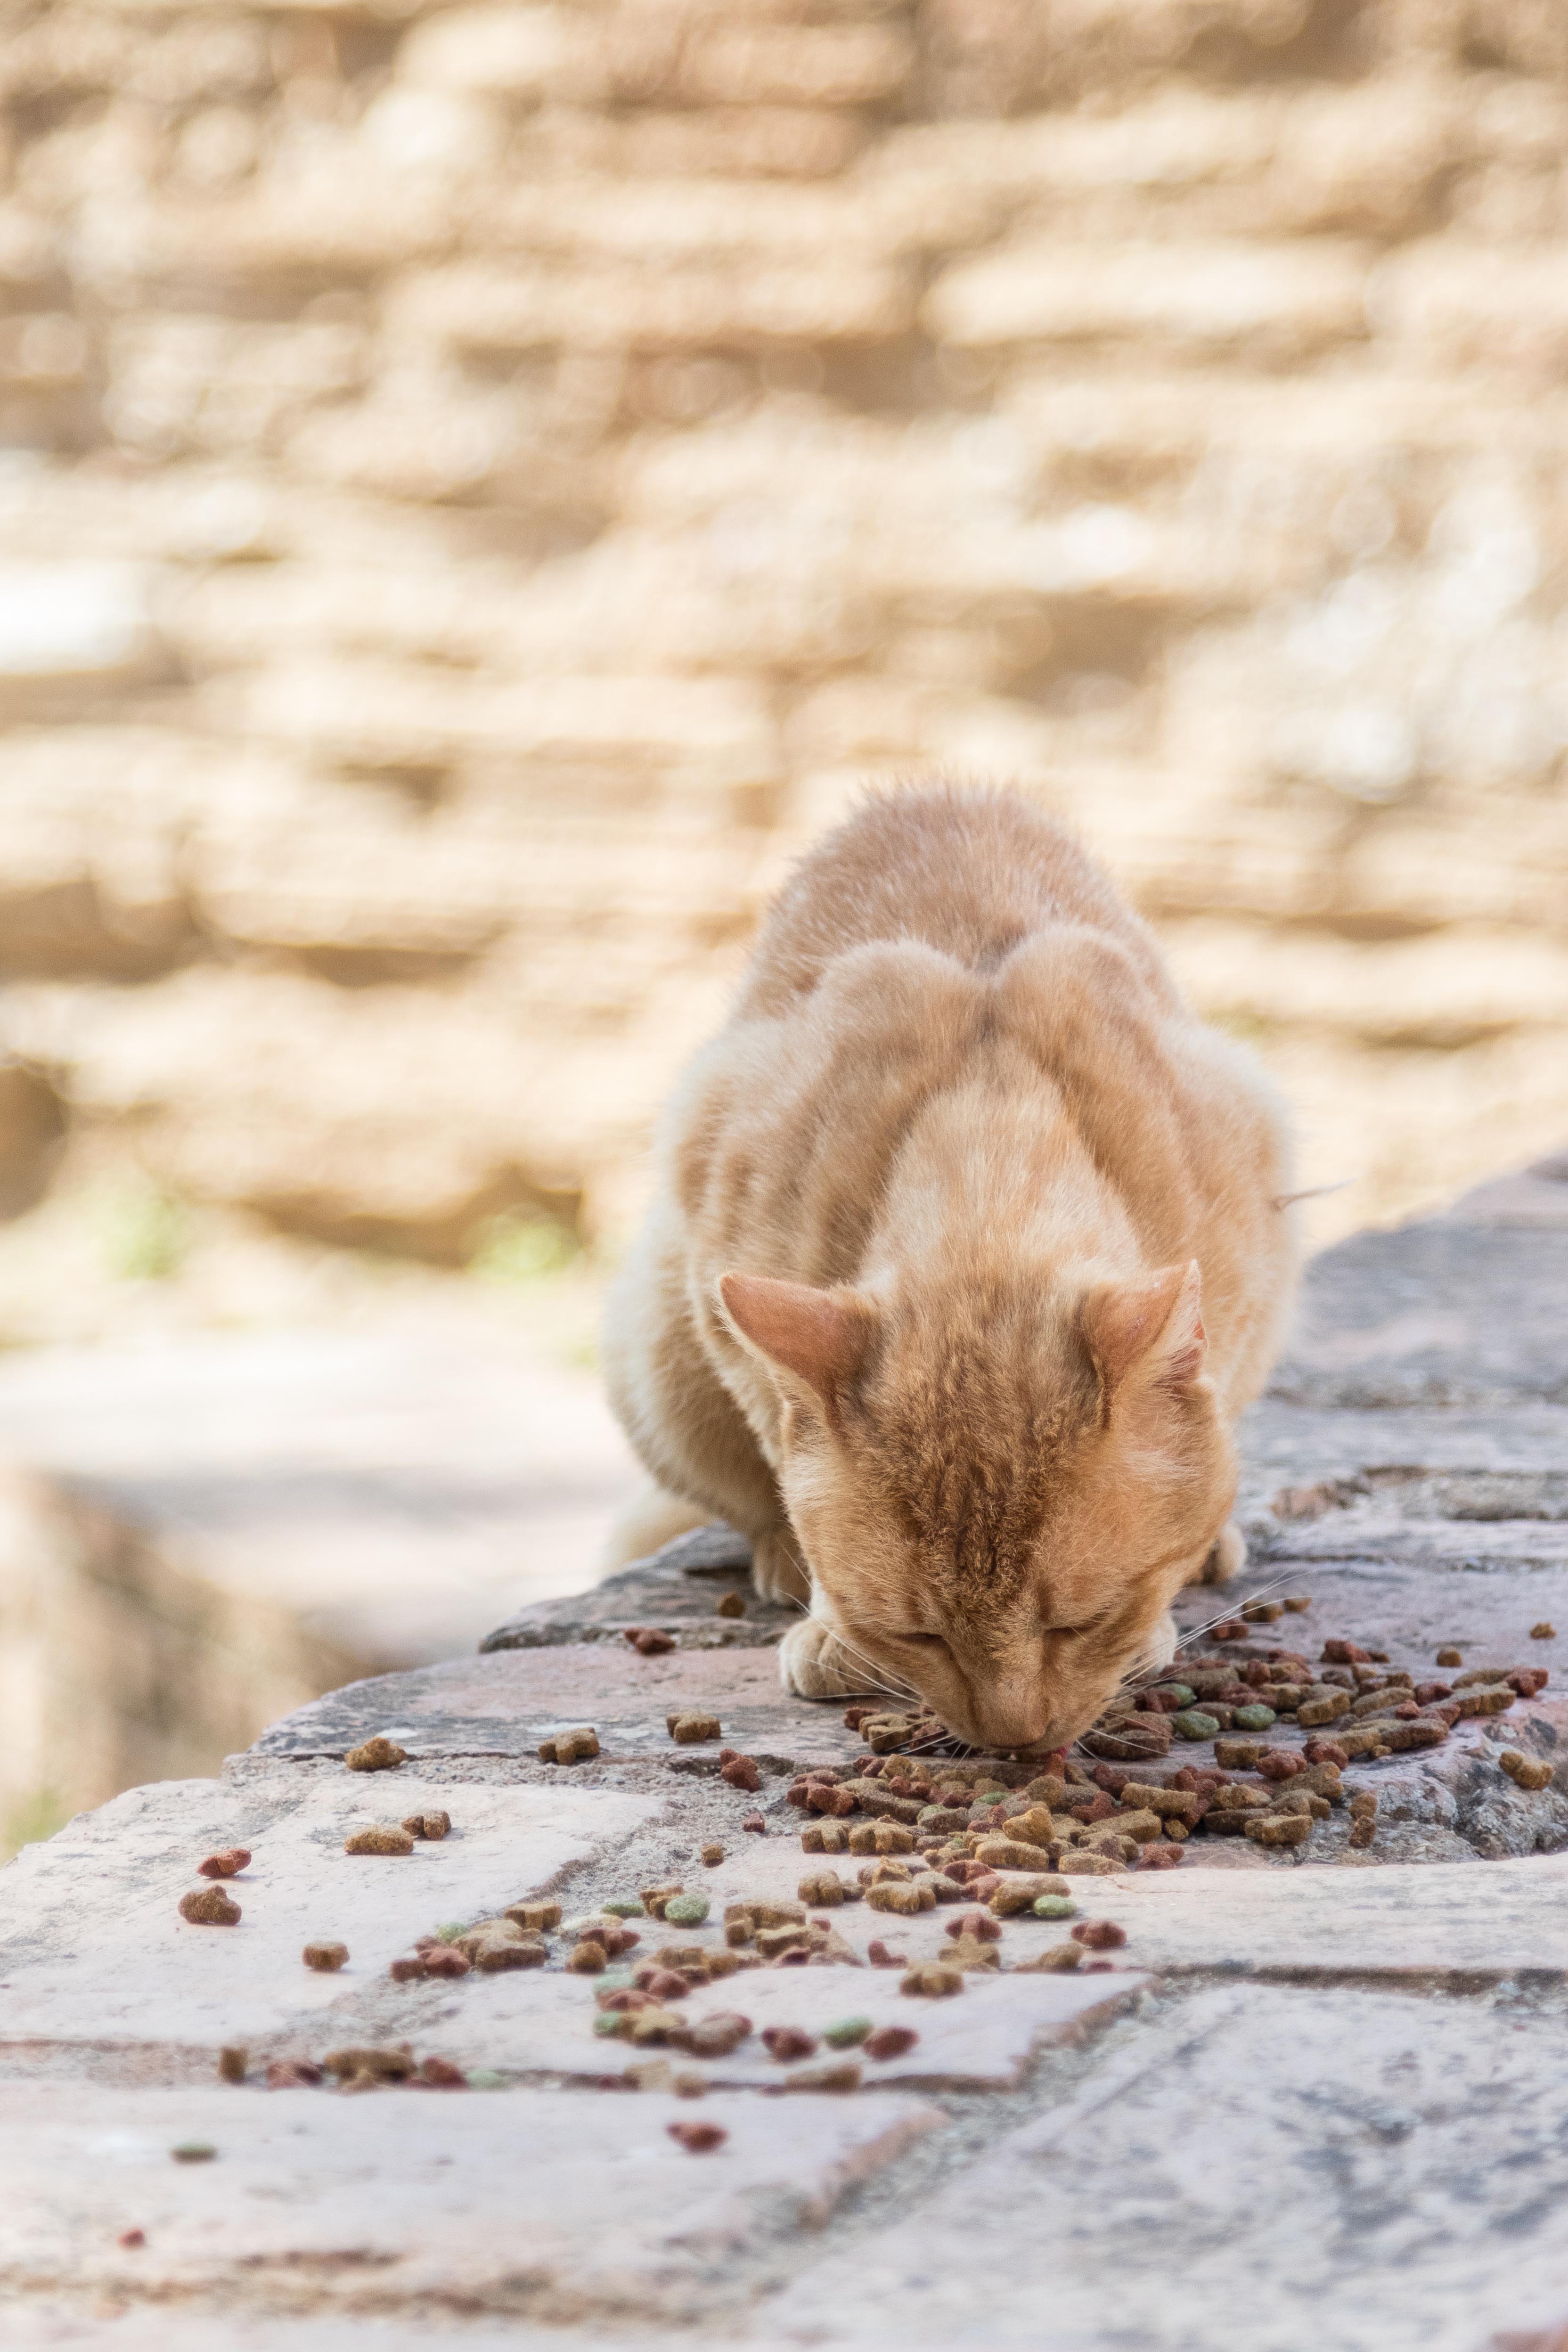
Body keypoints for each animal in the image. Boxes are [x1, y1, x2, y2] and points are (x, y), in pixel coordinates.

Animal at [602, 785, 1298, 1750]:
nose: (1013, 1739)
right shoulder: (718, 1271)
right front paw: (830, 1618)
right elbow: (790, 1465)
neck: (987, 1128)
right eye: (918, 1634)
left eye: (1080, 1621)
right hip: (659, 1353)